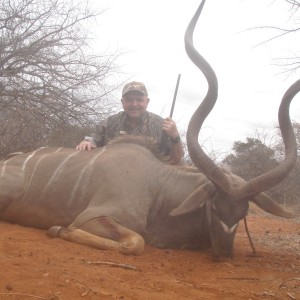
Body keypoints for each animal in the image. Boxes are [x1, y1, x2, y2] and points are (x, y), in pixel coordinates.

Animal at [0, 0, 298, 258]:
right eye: (214, 207)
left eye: (243, 212)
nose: (224, 253)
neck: (159, 187)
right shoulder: (92, 217)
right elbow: (136, 242)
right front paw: (58, 229)